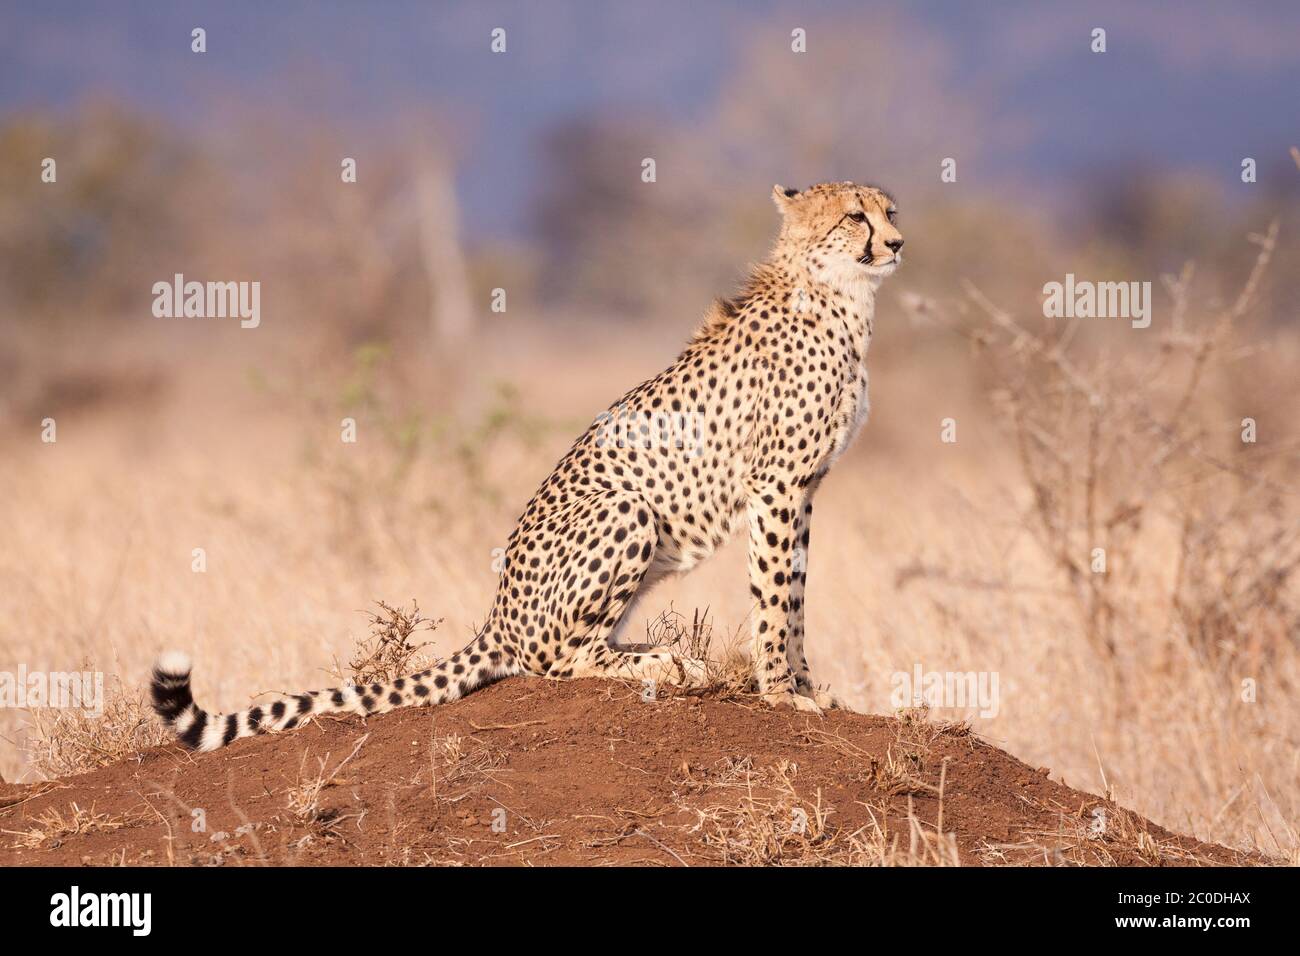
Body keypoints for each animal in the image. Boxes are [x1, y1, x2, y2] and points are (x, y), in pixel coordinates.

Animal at [152, 179, 904, 749]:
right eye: (854, 216)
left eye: (890, 210)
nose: (897, 243)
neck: (839, 295)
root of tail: (497, 612)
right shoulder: (776, 485)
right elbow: (774, 597)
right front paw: (780, 693)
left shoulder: (804, 490)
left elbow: (796, 594)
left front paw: (809, 686)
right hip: (627, 509)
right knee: (556, 661)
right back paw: (666, 664)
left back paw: (672, 660)